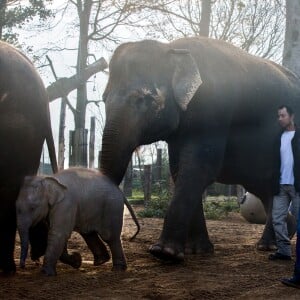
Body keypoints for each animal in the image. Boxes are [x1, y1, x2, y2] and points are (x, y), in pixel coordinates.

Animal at [99, 37, 300, 262]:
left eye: (144, 100)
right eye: (104, 99)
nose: (132, 234)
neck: (172, 48)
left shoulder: (214, 110)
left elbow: (199, 168)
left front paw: (164, 253)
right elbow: (180, 170)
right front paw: (197, 251)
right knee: (265, 188)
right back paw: (272, 241)